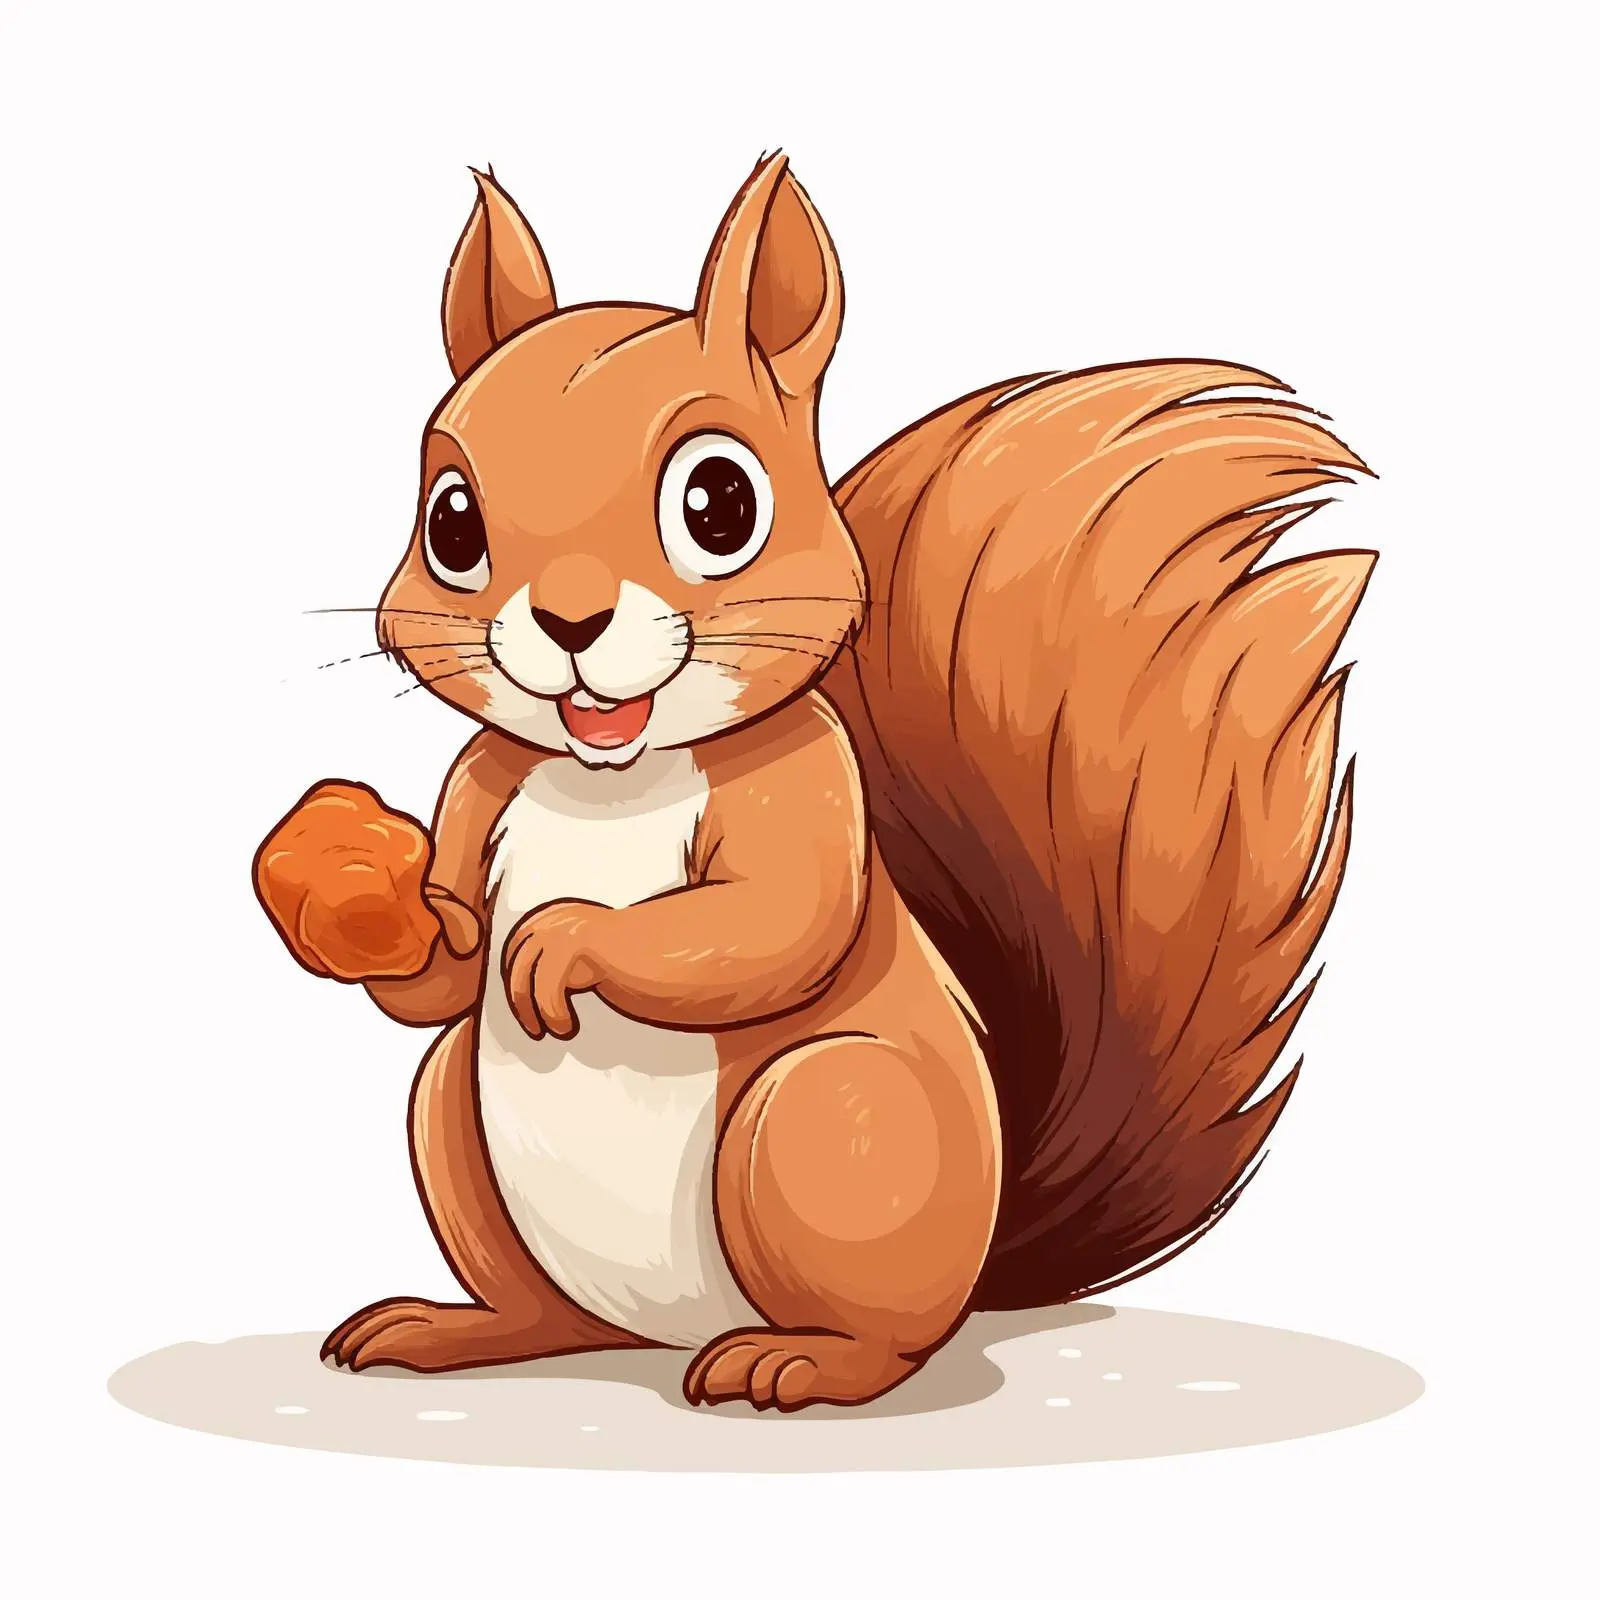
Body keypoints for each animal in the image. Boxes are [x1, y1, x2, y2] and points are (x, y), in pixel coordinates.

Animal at [254, 153, 1373, 1411]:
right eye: (451, 521)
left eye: (720, 503)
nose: (569, 620)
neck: (610, 776)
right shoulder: (475, 788)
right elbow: (442, 975)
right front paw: (343, 884)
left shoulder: (802, 784)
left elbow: (777, 925)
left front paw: (565, 940)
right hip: (457, 1117)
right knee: (538, 1290)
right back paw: (453, 1328)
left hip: (822, 1118)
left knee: (890, 1332)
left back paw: (799, 1362)